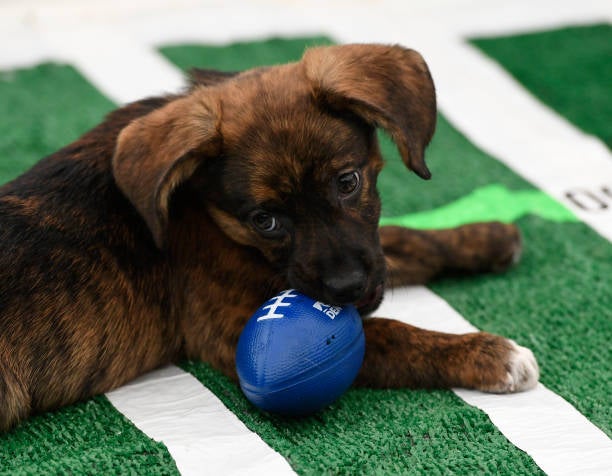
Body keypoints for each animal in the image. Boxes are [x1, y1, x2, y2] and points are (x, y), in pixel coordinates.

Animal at [0, 44, 536, 432]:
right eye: (265, 220)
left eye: (348, 182)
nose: (347, 289)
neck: (201, 205)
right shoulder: (232, 326)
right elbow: (393, 336)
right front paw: (487, 355)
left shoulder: (360, 252)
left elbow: (404, 240)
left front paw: (486, 236)